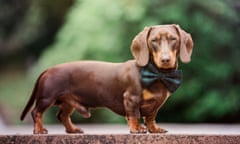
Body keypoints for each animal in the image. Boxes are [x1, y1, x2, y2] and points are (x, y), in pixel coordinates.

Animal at [20, 23, 193, 134]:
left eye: (173, 39)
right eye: (154, 41)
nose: (165, 60)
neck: (156, 74)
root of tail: (48, 69)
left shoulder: (155, 106)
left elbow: (150, 118)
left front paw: (155, 129)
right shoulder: (131, 99)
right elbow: (135, 115)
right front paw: (137, 129)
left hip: (68, 102)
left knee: (62, 116)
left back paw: (72, 129)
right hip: (46, 98)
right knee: (36, 112)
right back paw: (39, 130)